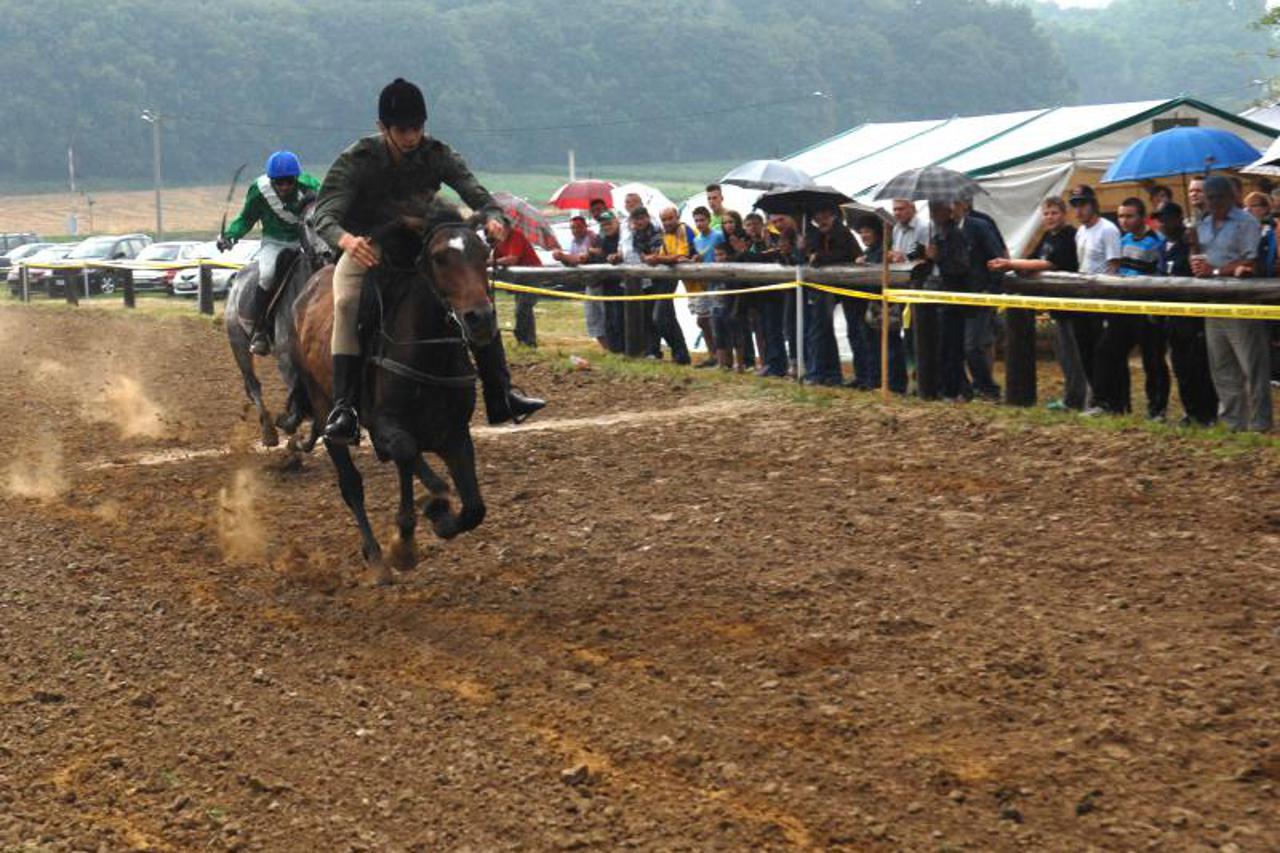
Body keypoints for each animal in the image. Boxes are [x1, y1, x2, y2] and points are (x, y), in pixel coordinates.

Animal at [293, 202, 496, 581]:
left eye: (483, 252)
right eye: (439, 258)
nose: (481, 318)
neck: (429, 356)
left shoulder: (455, 434)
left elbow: (474, 508)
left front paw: (441, 516)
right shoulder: (386, 424)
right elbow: (405, 451)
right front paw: (406, 540)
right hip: (325, 410)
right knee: (352, 485)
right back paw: (376, 556)